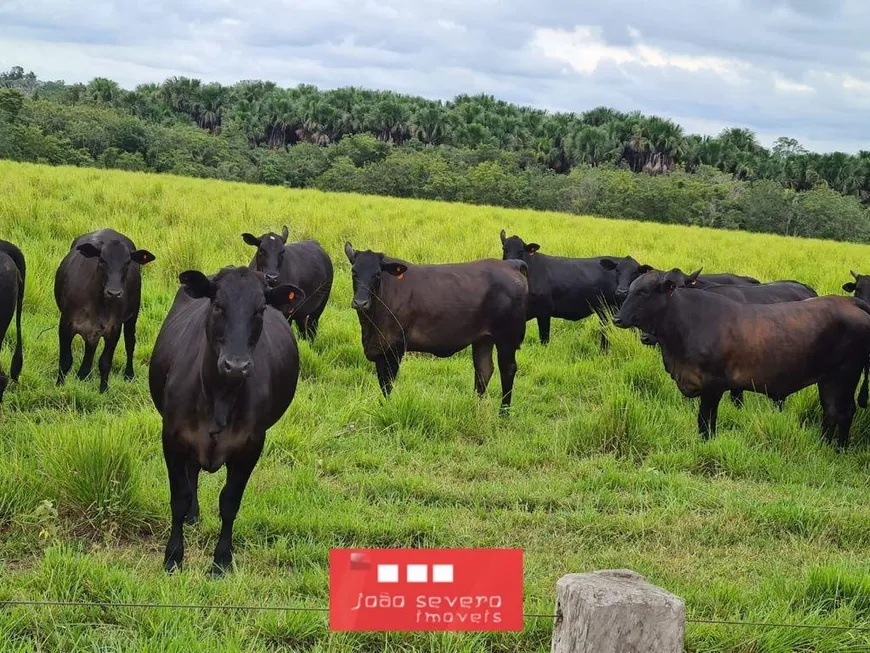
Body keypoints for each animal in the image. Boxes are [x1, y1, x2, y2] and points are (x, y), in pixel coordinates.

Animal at [55, 229, 155, 392]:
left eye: (128, 262)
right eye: (102, 260)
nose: (114, 293)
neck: (97, 303)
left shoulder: (113, 329)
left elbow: (105, 362)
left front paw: (103, 391)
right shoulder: (65, 324)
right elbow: (65, 360)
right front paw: (59, 386)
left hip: (132, 316)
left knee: (130, 343)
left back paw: (129, 374)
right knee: (90, 347)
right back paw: (83, 375)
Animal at [147, 266, 304, 576]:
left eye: (260, 309)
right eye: (218, 305)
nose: (236, 365)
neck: (219, 395)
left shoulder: (251, 445)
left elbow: (230, 502)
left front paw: (221, 561)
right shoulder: (172, 436)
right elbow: (179, 498)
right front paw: (173, 557)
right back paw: (193, 516)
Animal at [344, 239, 528, 412]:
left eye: (377, 274)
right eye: (354, 272)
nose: (360, 302)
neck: (370, 324)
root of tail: (510, 264)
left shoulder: (394, 348)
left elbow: (387, 385)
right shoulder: (380, 349)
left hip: (506, 339)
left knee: (507, 370)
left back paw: (503, 413)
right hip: (483, 339)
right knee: (484, 370)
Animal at [612, 270, 870, 448]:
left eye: (644, 292)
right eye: (630, 290)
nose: (617, 319)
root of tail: (849, 301)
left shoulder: (713, 386)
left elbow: (705, 422)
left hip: (845, 375)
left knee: (845, 410)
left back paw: (839, 448)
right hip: (828, 380)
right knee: (831, 411)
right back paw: (823, 444)